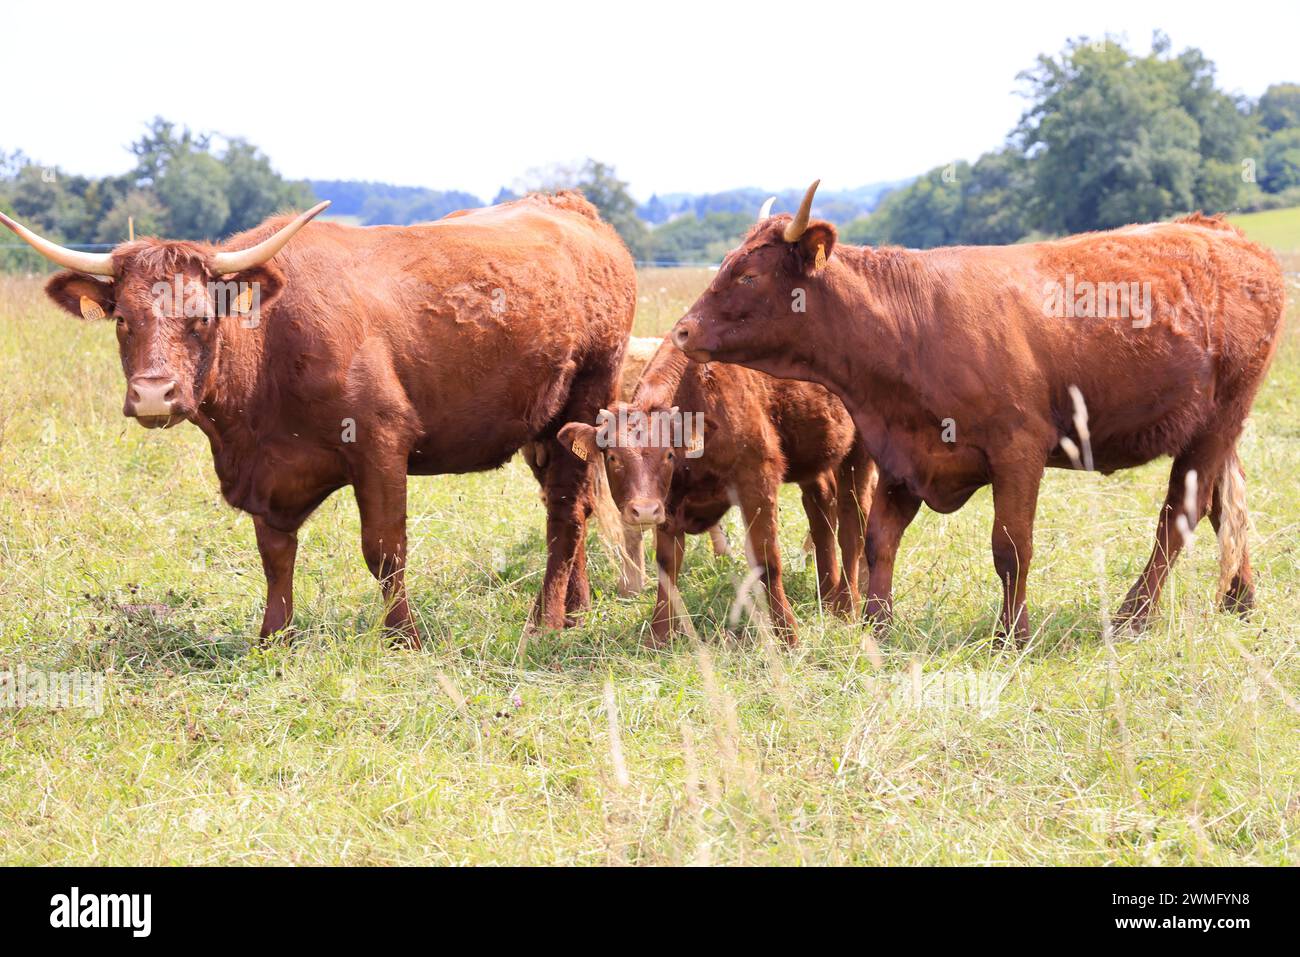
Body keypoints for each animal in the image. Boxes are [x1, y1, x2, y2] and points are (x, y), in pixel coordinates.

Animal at [3, 192, 634, 642]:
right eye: (122, 320)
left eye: (202, 318)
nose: (154, 394)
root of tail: (568, 206)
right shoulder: (267, 479)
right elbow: (275, 556)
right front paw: (273, 638)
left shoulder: (380, 443)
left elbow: (385, 550)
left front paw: (405, 638)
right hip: (541, 429)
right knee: (569, 506)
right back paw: (576, 611)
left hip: (585, 400)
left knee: (565, 512)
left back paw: (544, 622)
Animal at [559, 335, 873, 642]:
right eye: (613, 457)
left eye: (668, 455)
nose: (645, 510)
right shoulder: (670, 505)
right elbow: (667, 566)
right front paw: (659, 636)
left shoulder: (757, 483)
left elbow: (767, 559)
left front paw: (787, 636)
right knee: (821, 511)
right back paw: (829, 596)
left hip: (859, 454)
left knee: (852, 524)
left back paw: (847, 607)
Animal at [676, 179, 1284, 642]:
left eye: (748, 275)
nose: (683, 330)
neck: (909, 323)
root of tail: (1219, 230)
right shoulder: (903, 454)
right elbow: (878, 541)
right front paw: (876, 627)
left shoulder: (1018, 452)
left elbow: (1010, 547)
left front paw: (1010, 636)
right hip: (1215, 430)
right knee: (1227, 505)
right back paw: (1240, 600)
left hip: (1219, 421)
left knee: (1180, 517)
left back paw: (1133, 616)